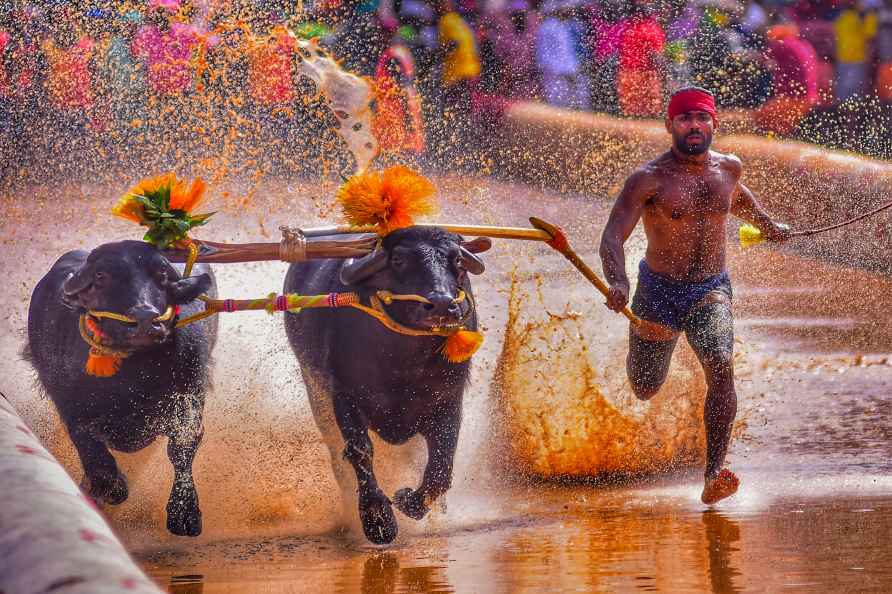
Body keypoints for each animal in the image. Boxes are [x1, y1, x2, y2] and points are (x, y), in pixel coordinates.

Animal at [26, 238, 216, 536]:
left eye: (162, 276)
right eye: (101, 277)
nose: (146, 318)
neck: (134, 377)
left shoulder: (190, 395)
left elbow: (182, 446)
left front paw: (184, 512)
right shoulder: (69, 404)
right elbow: (89, 445)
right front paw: (111, 488)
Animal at [286, 227, 488, 540]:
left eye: (456, 259)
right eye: (398, 259)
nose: (443, 304)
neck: (404, 364)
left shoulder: (448, 402)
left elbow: (442, 463)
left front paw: (410, 501)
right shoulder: (344, 396)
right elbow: (360, 450)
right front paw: (377, 518)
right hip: (316, 392)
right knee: (337, 457)